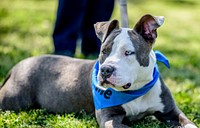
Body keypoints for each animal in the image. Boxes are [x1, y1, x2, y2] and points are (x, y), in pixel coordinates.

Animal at [0, 14, 197, 127]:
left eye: (128, 52)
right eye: (104, 51)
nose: (106, 70)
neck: (135, 90)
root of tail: (19, 64)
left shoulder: (172, 112)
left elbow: (189, 124)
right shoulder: (109, 117)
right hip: (13, 99)